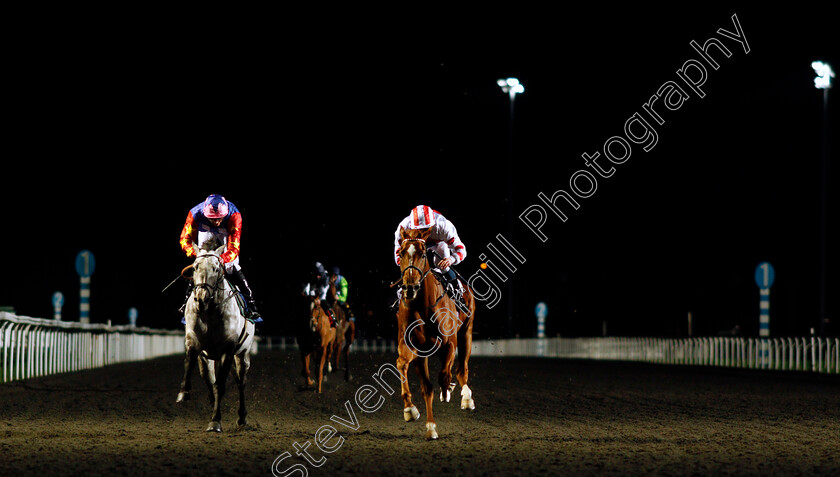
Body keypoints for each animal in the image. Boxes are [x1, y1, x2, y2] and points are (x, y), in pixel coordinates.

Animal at [176, 240, 254, 430]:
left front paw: (215, 420)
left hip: (242, 354)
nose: (201, 297)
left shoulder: (227, 350)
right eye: (195, 267)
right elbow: (194, 368)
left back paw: (242, 417)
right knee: (213, 378)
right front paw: (184, 392)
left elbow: (220, 384)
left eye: (216, 268)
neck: (209, 311)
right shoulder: (195, 343)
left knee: (241, 382)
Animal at [396, 226, 476, 438]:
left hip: (466, 332)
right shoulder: (415, 348)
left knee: (462, 368)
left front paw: (447, 390)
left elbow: (444, 375)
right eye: (401, 253)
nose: (409, 287)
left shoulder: (450, 343)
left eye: (423, 254)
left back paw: (466, 397)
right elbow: (423, 384)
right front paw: (419, 417)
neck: (424, 306)